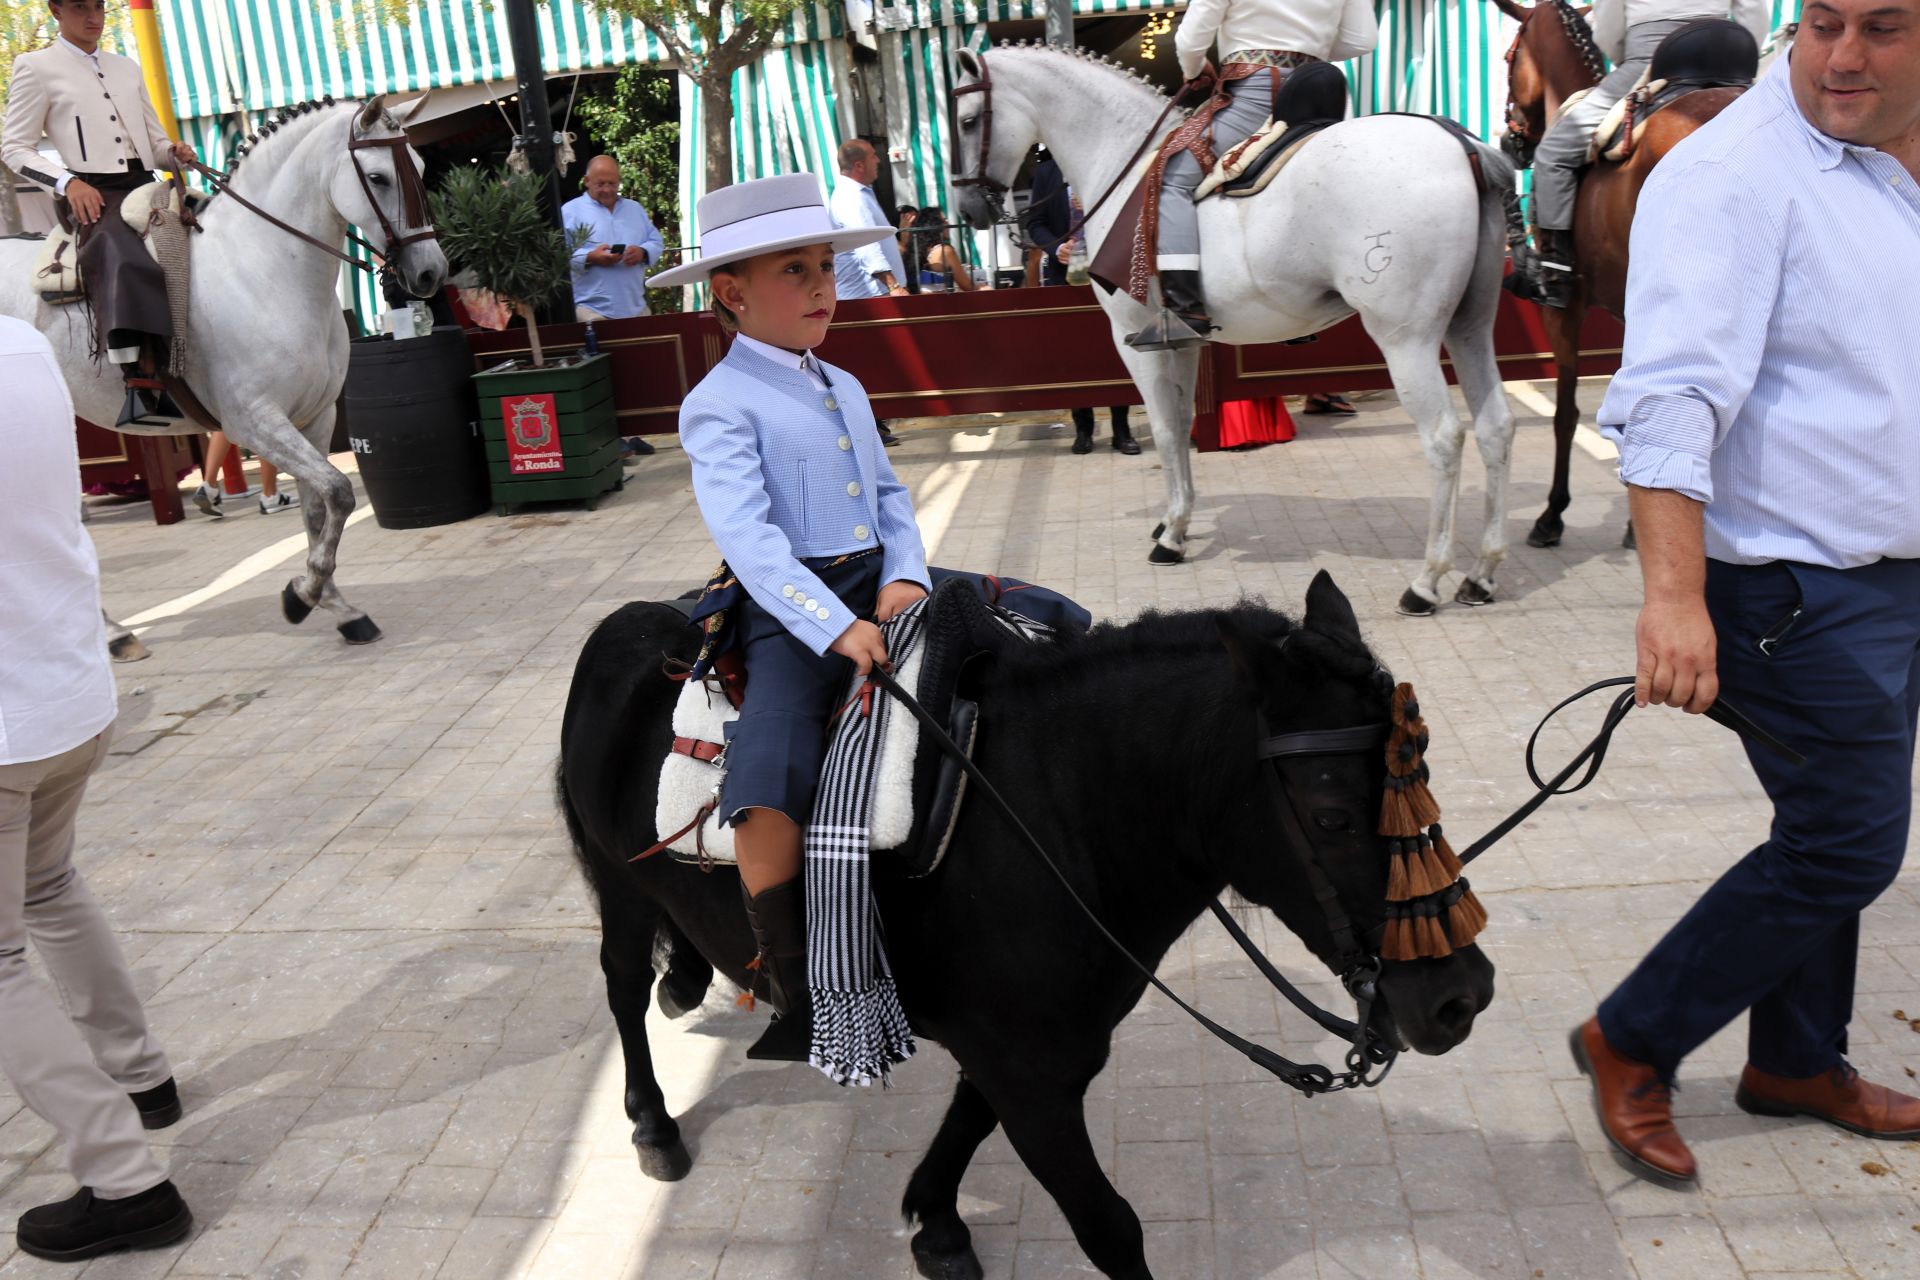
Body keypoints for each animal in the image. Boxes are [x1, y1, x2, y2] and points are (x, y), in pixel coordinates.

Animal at [5, 94, 445, 644]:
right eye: (380, 177)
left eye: (421, 167)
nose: (430, 272)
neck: (262, 268)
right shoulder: (254, 422)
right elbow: (340, 492)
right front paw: (301, 595)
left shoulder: (315, 417)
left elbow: (319, 508)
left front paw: (336, 606)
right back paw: (107, 632)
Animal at [556, 575, 1497, 1280]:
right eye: (1332, 815)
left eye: (1422, 775)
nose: (1460, 998)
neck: (1056, 817)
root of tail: (624, 626)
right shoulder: (1034, 1076)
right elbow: (1109, 1226)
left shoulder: (1032, 1050)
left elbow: (969, 1120)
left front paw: (935, 1223)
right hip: (621, 885)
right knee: (621, 988)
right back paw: (653, 1122)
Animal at [952, 47, 1520, 614]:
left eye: (967, 121)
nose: (969, 209)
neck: (1123, 160)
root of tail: (1460, 143)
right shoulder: (1184, 341)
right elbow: (1181, 423)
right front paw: (1175, 519)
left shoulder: (1133, 339)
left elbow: (1164, 427)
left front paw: (1170, 536)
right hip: (1469, 327)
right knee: (1496, 425)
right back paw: (1482, 574)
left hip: (1406, 338)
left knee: (1444, 437)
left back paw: (1426, 581)